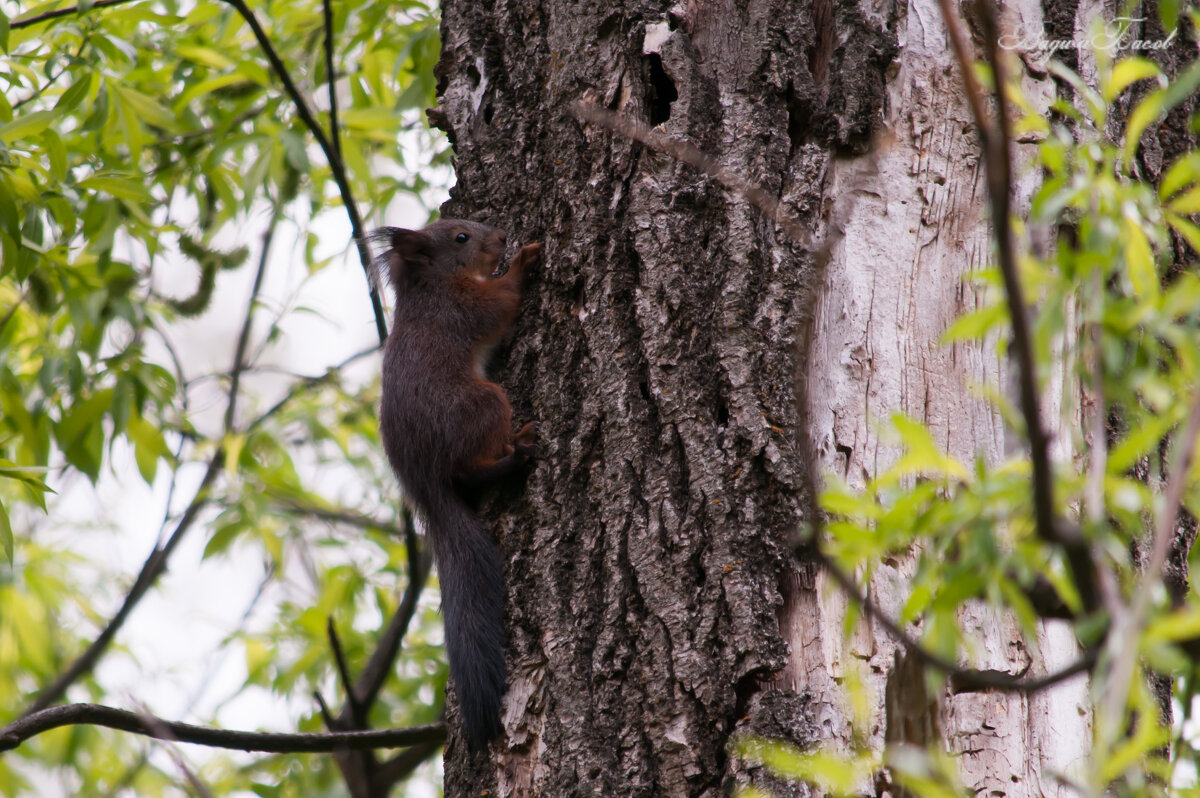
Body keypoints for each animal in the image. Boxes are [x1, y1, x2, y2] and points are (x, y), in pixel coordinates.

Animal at [376, 216, 542, 748]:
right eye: (462, 239)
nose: (501, 235)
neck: (431, 286)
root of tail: (424, 485)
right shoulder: (462, 308)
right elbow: (499, 304)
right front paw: (522, 262)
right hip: (483, 402)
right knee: (470, 467)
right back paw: (515, 456)